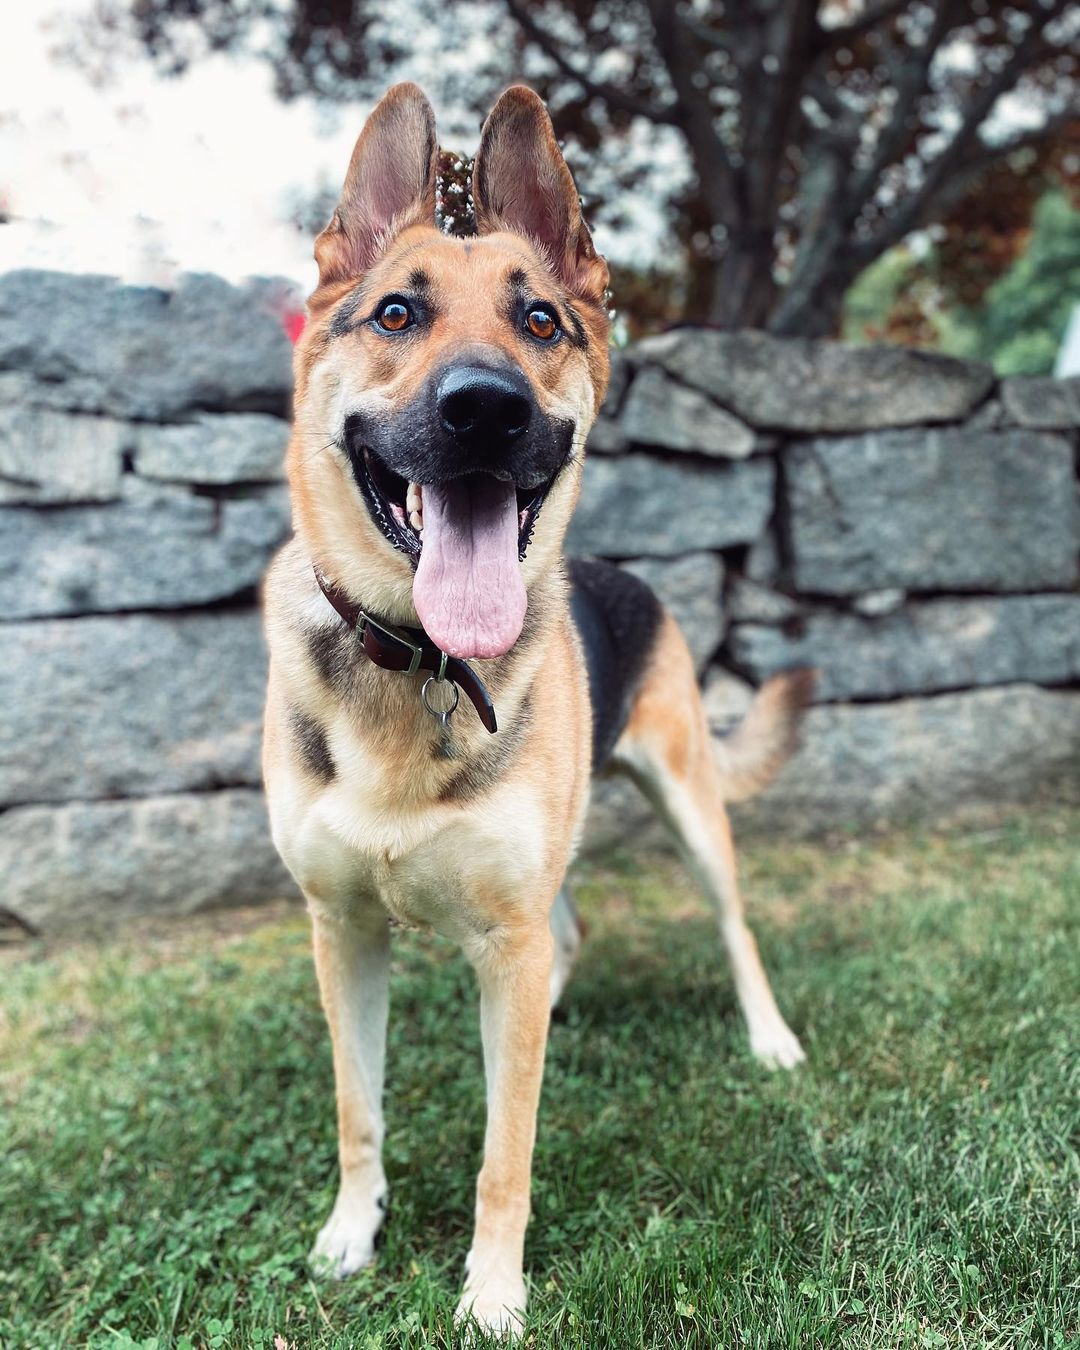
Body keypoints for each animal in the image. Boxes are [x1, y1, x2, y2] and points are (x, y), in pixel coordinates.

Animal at [263, 84, 810, 1339]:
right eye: (397, 312)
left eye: (544, 322)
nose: (485, 409)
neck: (417, 661)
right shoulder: (342, 930)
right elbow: (358, 1112)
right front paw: (349, 1235)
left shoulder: (498, 943)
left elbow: (504, 1152)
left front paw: (494, 1294)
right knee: (566, 939)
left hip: (691, 810)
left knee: (733, 925)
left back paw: (768, 1036)